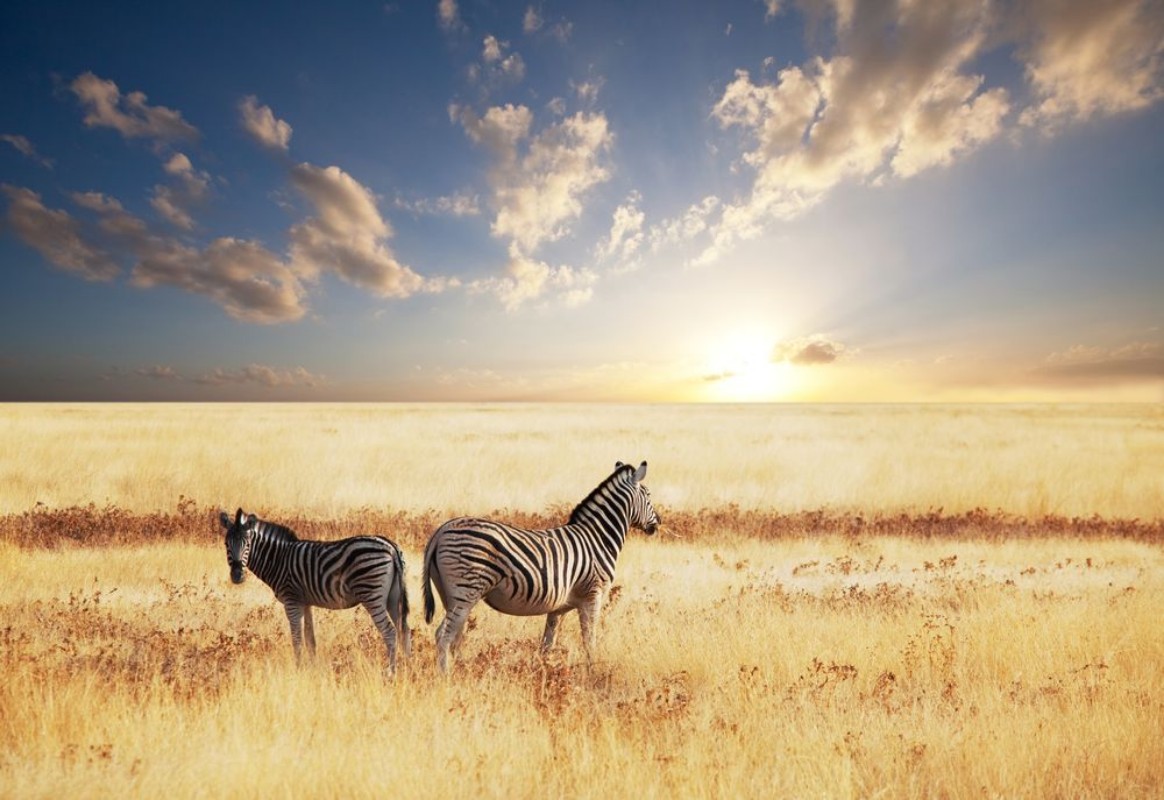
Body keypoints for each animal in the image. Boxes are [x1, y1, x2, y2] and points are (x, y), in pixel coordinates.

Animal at [219, 508, 411, 673]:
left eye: (247, 544)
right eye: (226, 544)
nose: (237, 576)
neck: (278, 559)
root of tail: (391, 547)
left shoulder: (291, 600)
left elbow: (297, 639)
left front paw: (298, 669)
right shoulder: (305, 602)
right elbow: (310, 639)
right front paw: (312, 668)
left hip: (372, 595)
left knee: (390, 632)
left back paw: (391, 672)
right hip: (392, 598)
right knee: (404, 630)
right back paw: (409, 667)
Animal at [422, 461, 660, 673]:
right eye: (648, 495)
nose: (658, 523)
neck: (597, 538)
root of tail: (441, 530)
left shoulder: (558, 606)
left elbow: (547, 644)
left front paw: (544, 673)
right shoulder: (593, 595)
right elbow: (589, 640)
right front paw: (593, 673)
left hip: (450, 595)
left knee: (454, 636)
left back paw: (461, 671)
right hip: (465, 592)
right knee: (444, 635)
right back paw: (446, 677)